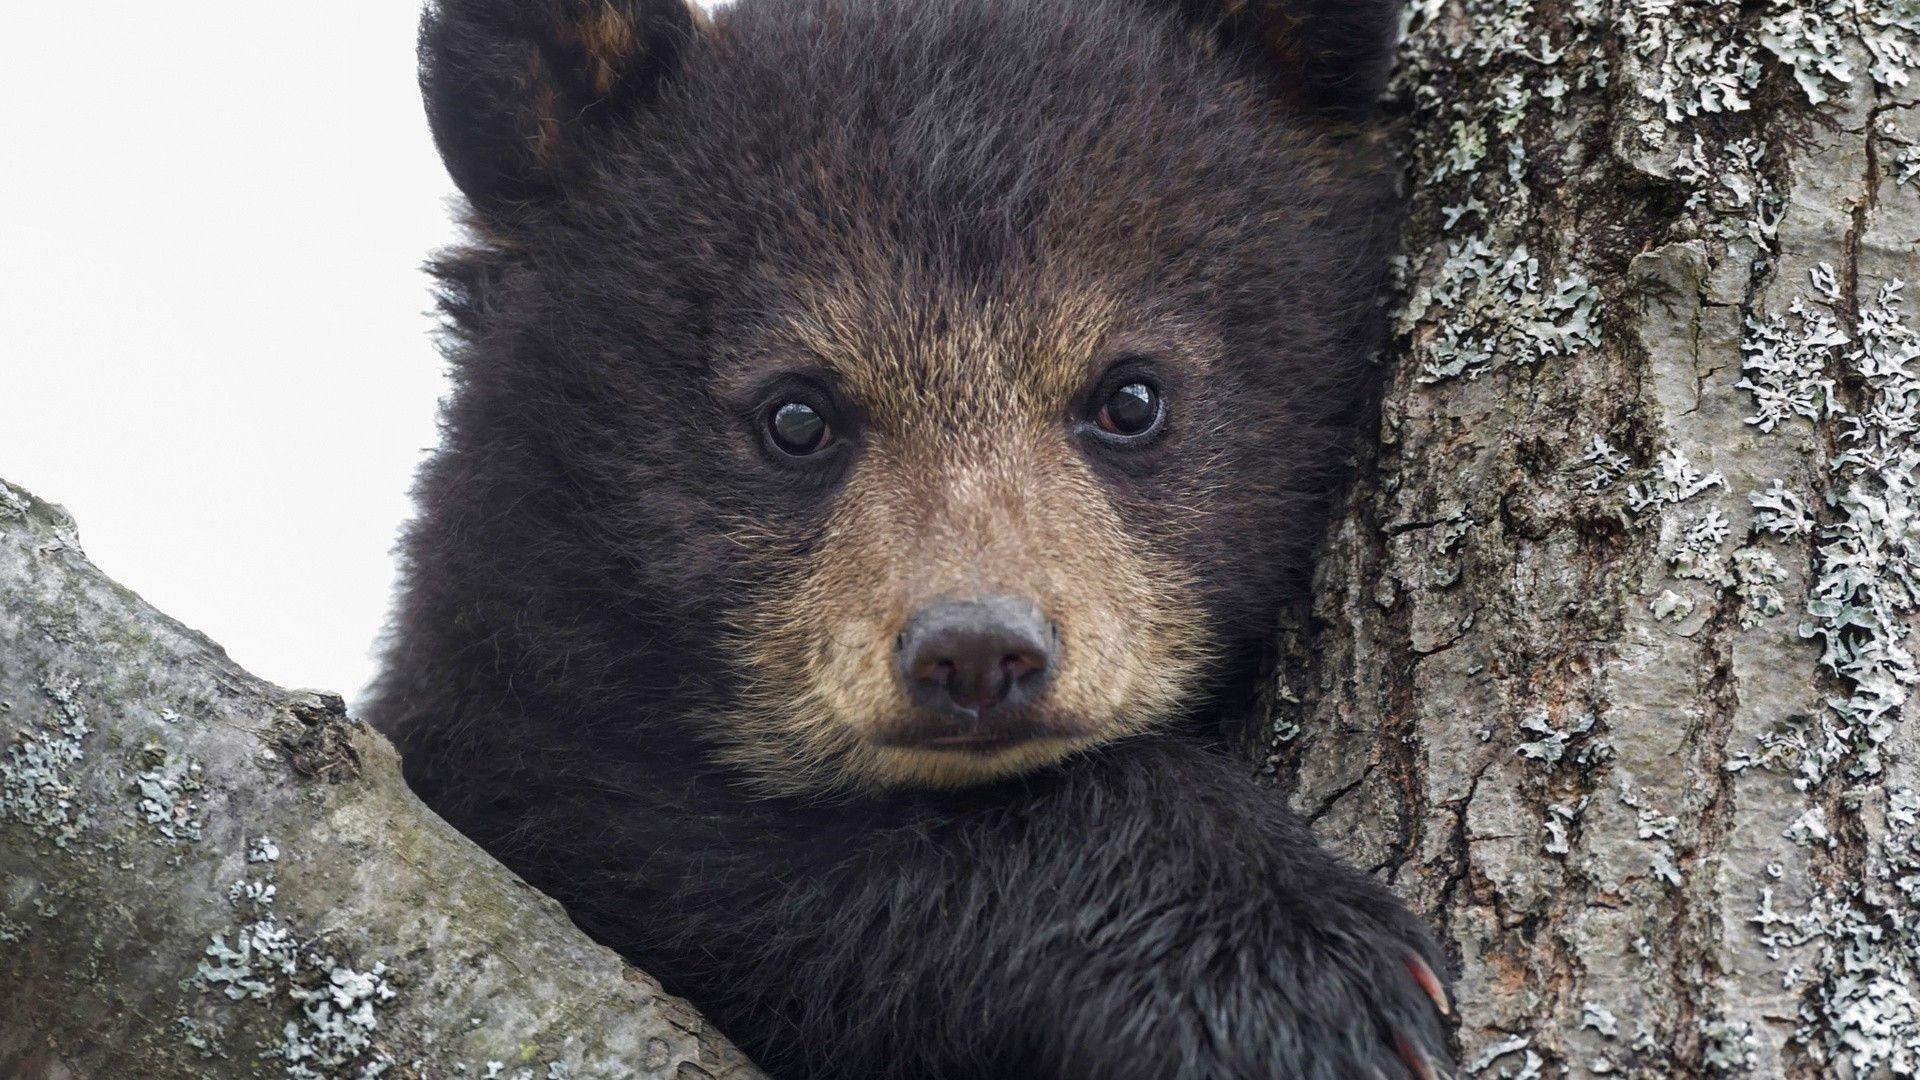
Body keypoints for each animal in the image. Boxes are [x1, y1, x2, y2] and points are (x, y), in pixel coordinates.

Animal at [368, 0, 1453, 1077]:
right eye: (795, 414)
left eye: (1131, 396)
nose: (975, 651)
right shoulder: (512, 740)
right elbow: (696, 861)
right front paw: (1297, 970)